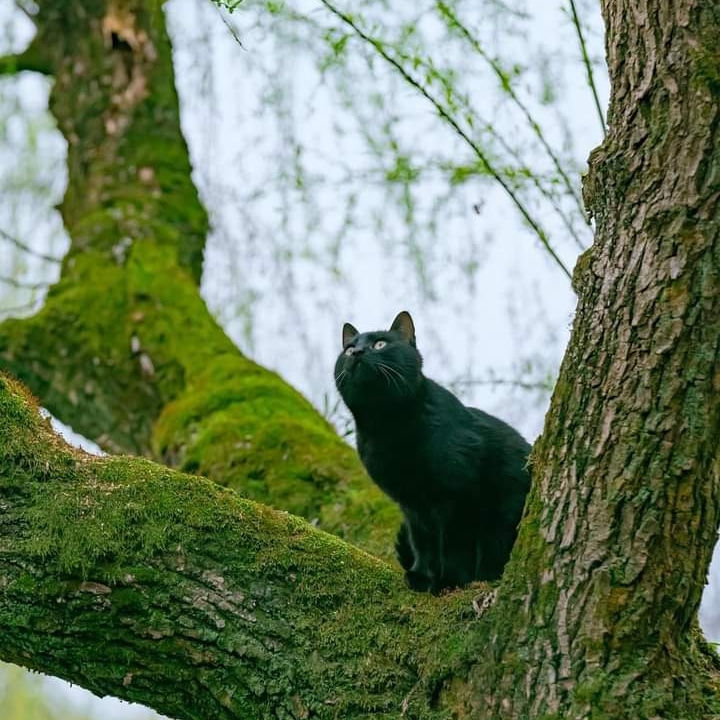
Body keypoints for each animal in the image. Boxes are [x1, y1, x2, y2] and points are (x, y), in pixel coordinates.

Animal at [334, 310, 532, 592]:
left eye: (380, 344)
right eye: (349, 349)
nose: (358, 352)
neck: (387, 426)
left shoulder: (457, 496)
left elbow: (453, 545)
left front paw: (449, 582)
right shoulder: (412, 504)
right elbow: (423, 543)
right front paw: (421, 576)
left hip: (500, 517)